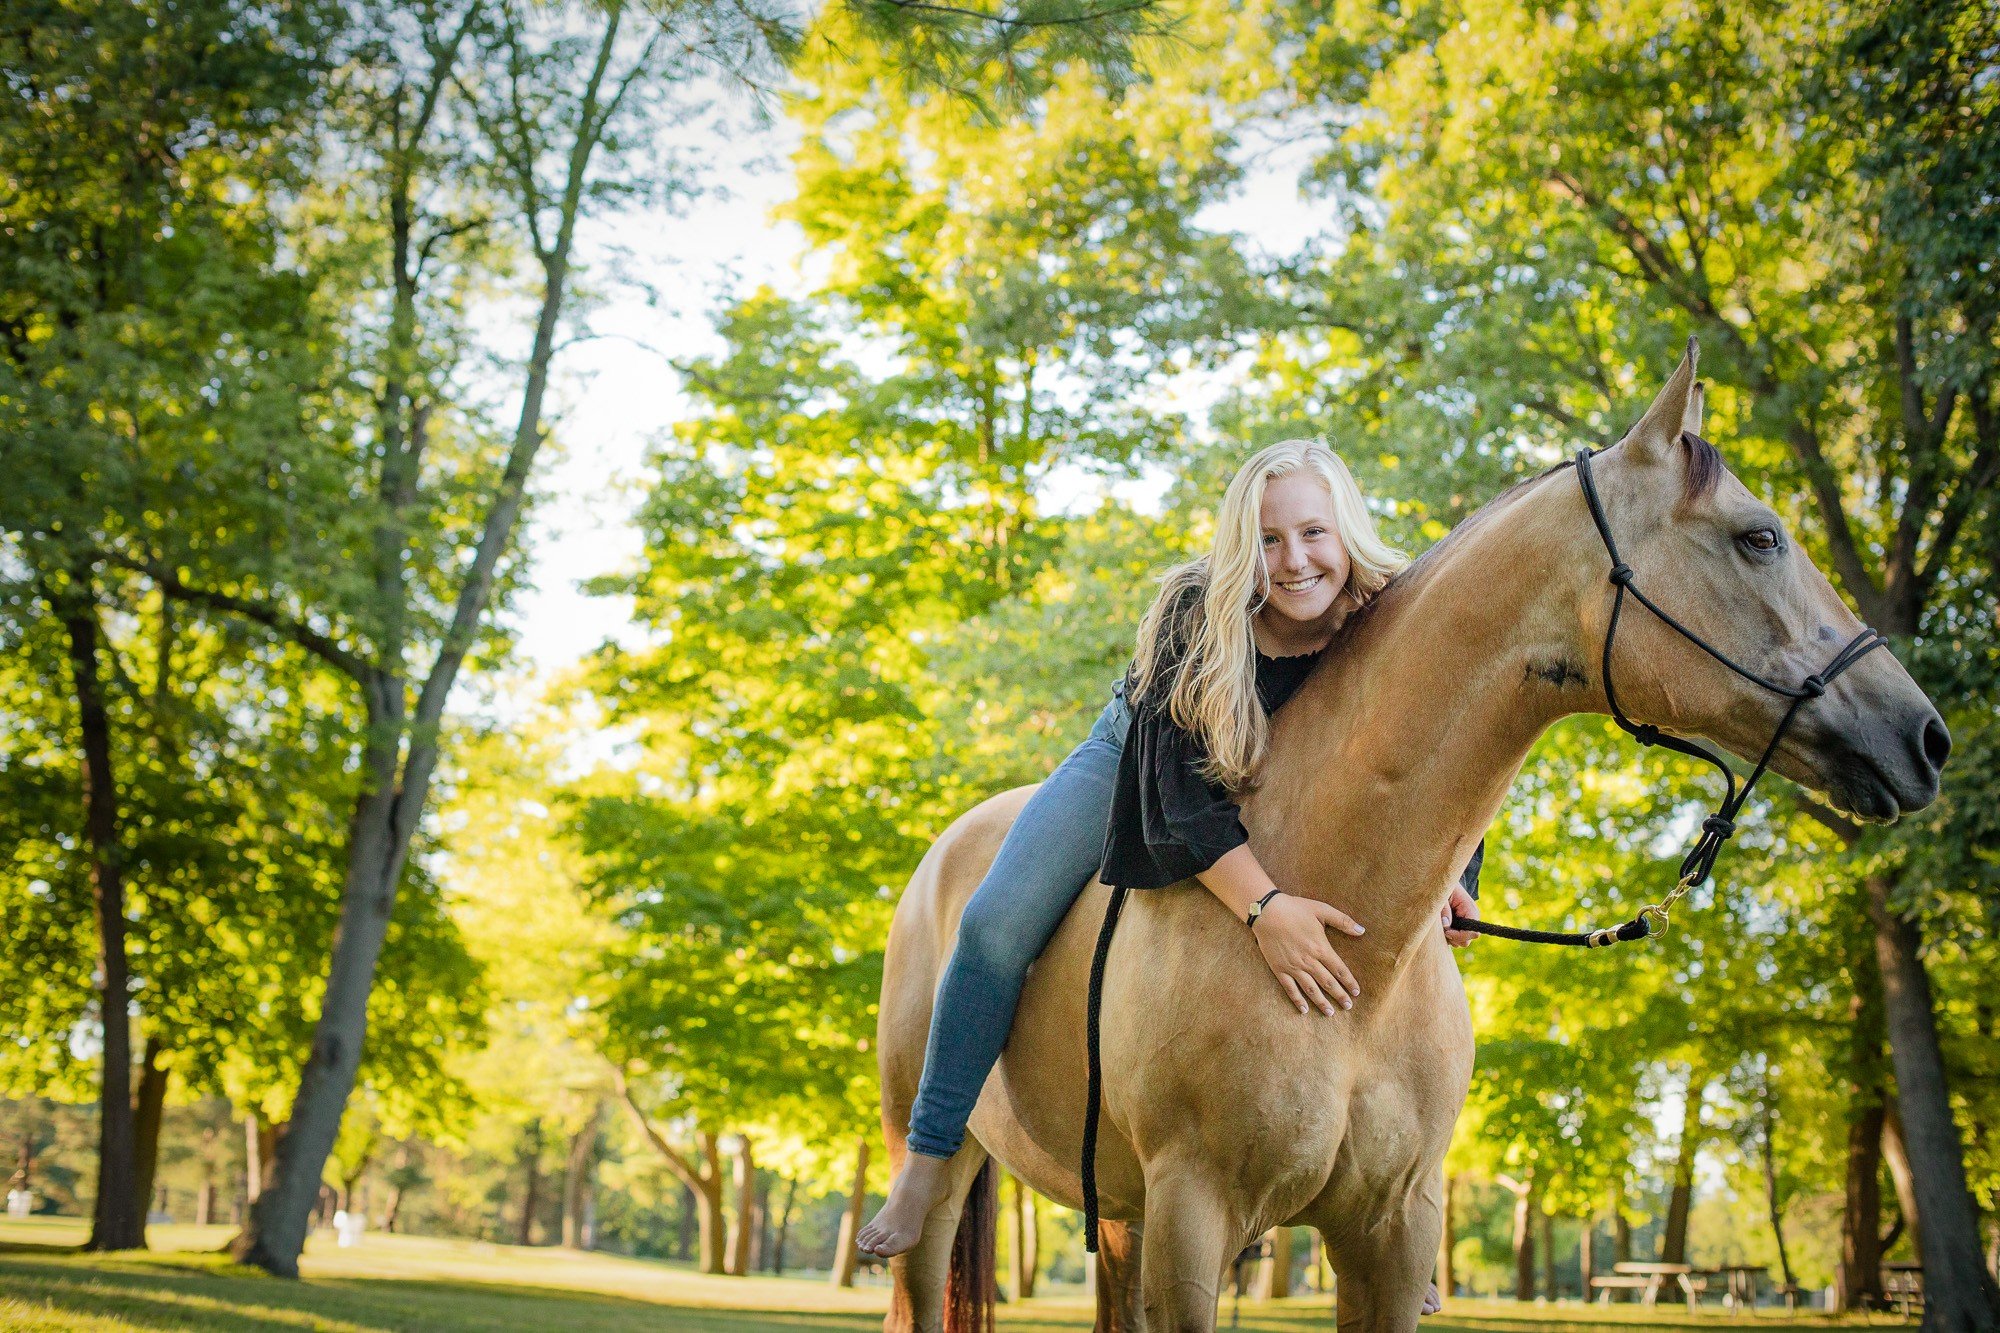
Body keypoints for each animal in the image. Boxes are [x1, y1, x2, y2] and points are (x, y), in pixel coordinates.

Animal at [873, 340, 1948, 1333]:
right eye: (1759, 537)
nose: (1926, 736)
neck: (1361, 948)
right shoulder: (1193, 1220)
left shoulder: (1391, 1232)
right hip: (956, 1183)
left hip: (1123, 1217)